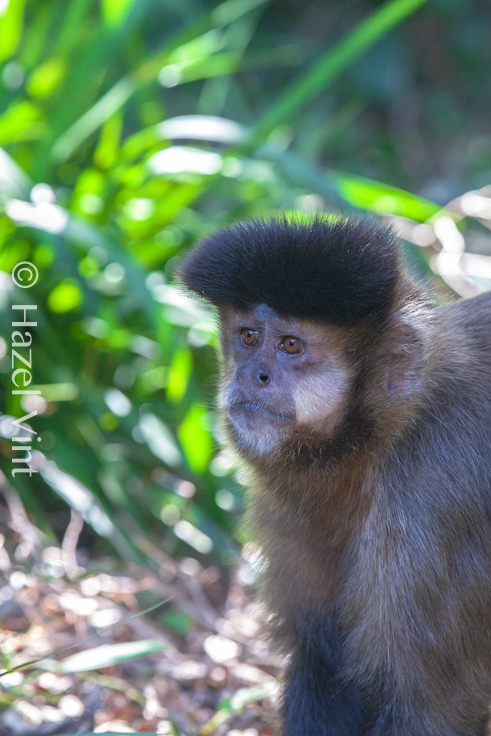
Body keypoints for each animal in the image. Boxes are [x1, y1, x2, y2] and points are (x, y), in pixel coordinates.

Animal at [178, 214, 491, 736]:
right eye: (248, 336)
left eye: (290, 345)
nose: (253, 374)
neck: (390, 434)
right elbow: (324, 663)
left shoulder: (434, 501)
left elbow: (431, 706)